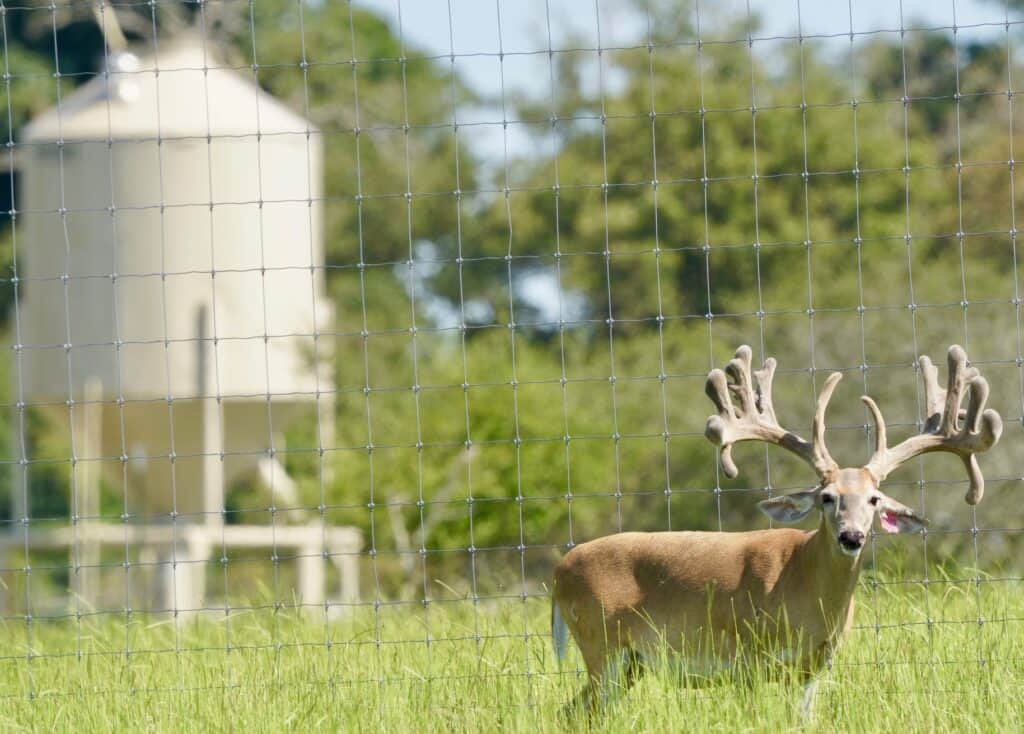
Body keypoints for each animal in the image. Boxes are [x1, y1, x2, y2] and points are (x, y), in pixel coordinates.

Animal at [551, 344, 1002, 716]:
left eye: (874, 500)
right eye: (827, 497)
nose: (851, 537)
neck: (804, 586)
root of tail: (559, 572)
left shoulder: (813, 667)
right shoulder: (748, 656)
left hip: (629, 664)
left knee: (574, 712)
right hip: (601, 644)